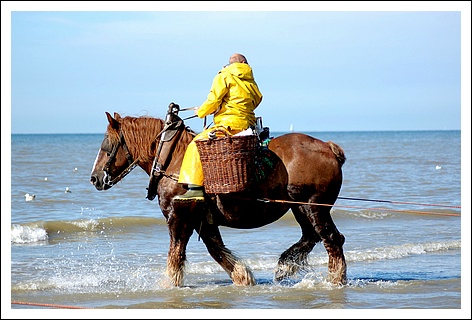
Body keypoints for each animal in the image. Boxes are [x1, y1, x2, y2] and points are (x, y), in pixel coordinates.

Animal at [89, 104, 346, 288]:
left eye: (106, 145)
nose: (94, 178)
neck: (173, 157)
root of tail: (328, 147)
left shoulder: (178, 218)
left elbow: (176, 256)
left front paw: (169, 285)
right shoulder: (203, 220)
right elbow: (217, 250)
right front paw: (243, 277)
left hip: (313, 206)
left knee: (332, 239)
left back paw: (335, 279)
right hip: (300, 207)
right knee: (312, 236)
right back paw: (287, 265)